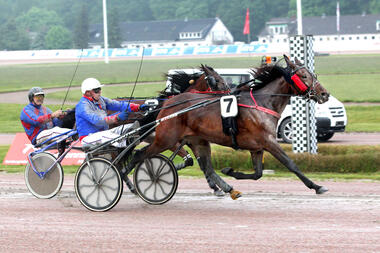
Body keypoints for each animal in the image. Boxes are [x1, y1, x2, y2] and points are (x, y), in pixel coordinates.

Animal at [127, 55, 330, 200]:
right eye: (303, 76)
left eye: (313, 75)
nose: (324, 94)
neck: (263, 103)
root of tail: (168, 104)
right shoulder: (269, 141)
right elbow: (291, 164)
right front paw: (317, 186)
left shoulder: (257, 147)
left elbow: (257, 174)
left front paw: (230, 171)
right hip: (166, 139)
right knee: (138, 155)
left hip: (197, 141)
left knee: (205, 166)